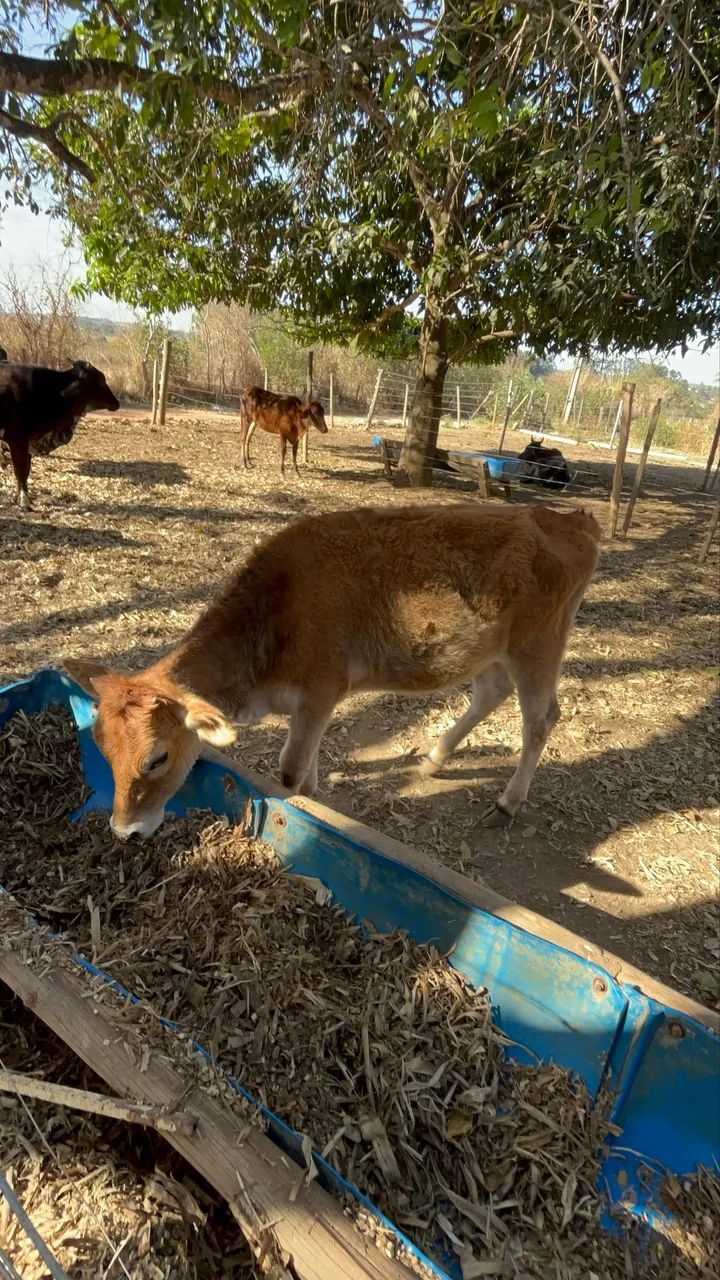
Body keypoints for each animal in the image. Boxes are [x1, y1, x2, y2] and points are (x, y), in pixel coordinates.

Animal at [0, 360, 120, 509]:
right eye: (102, 382)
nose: (117, 403)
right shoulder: (17, 440)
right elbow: (20, 471)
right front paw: (24, 502)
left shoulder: (27, 442)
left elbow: (26, 471)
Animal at [63, 501, 601, 841]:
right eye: (99, 743)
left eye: (157, 758)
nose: (125, 831)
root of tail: (572, 520)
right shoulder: (312, 706)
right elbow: (309, 767)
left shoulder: (321, 690)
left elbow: (290, 769)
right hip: (491, 649)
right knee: (490, 692)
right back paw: (433, 756)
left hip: (538, 644)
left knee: (540, 719)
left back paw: (508, 802)